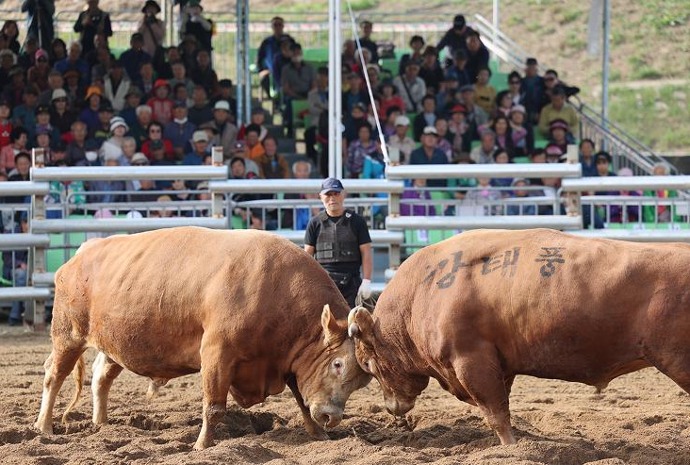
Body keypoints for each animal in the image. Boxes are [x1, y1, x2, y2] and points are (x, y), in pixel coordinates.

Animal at [36, 227, 370, 448]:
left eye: (362, 381)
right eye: (338, 364)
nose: (331, 416)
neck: (277, 288)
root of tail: (83, 252)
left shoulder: (288, 360)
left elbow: (301, 400)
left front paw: (319, 434)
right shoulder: (216, 353)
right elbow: (214, 406)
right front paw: (202, 445)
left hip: (115, 342)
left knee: (101, 377)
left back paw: (102, 425)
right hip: (68, 336)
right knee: (54, 376)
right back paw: (44, 426)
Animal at [350, 227, 690, 442]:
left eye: (368, 364)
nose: (392, 408)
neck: (423, 291)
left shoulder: (471, 361)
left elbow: (496, 413)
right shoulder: (501, 364)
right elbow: (504, 406)